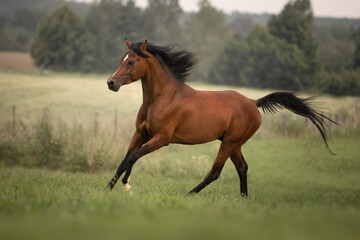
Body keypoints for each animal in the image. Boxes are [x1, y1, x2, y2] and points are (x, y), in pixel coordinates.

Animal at [105, 38, 336, 196]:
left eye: (132, 62)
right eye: (121, 59)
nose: (111, 83)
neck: (160, 98)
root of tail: (254, 103)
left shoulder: (162, 139)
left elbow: (133, 157)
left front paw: (126, 184)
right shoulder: (140, 133)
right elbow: (125, 159)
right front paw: (108, 187)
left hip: (229, 143)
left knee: (215, 172)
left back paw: (190, 194)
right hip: (234, 144)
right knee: (242, 167)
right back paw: (243, 198)